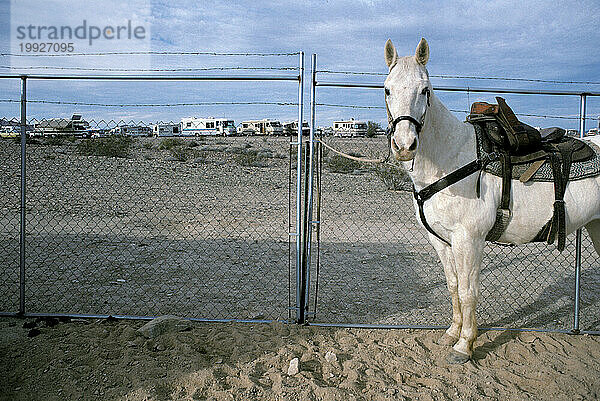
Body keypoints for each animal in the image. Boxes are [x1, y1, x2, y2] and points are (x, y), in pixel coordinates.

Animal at [384, 37, 600, 362]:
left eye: (425, 90)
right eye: (387, 89)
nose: (404, 145)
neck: (452, 159)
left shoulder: (469, 238)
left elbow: (468, 290)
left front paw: (465, 345)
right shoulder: (441, 240)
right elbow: (453, 285)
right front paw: (452, 333)